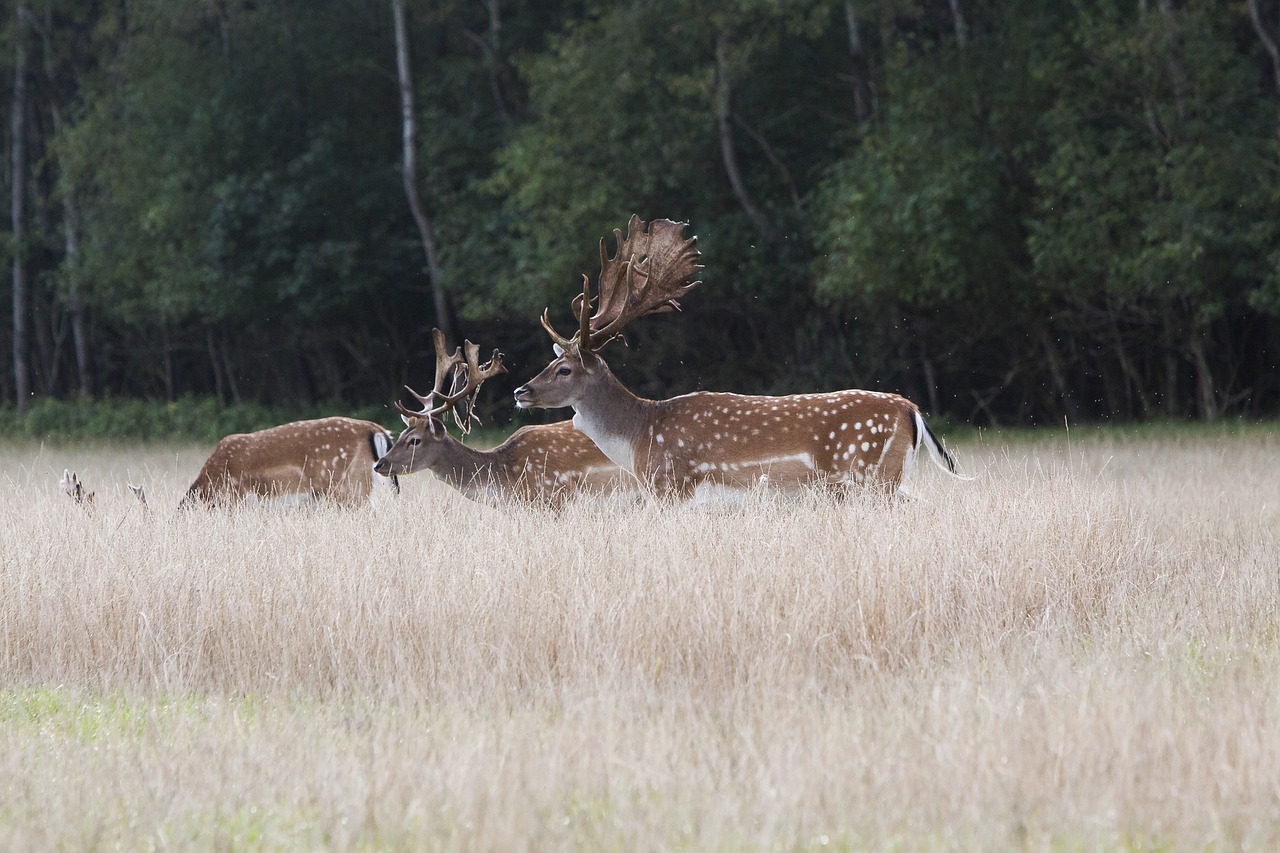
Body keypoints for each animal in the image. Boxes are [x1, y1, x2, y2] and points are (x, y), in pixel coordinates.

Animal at [512, 212, 962, 502]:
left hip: (871, 472)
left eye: (563, 369)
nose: (521, 391)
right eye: (549, 363)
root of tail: (911, 409)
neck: (639, 437)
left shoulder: (671, 486)